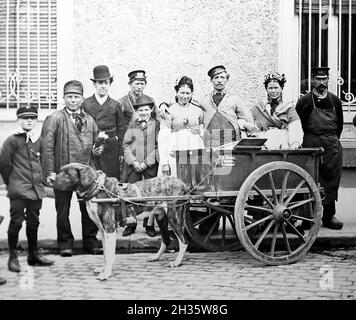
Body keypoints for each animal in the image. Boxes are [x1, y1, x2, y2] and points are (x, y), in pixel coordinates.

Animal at [53, 162, 189, 280]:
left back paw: (177, 262)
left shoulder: (109, 229)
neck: (97, 188)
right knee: (166, 239)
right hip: (161, 217)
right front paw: (103, 269)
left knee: (184, 242)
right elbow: (105, 254)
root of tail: (182, 183)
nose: (51, 179)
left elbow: (109, 254)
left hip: (173, 216)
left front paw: (106, 274)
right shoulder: (103, 230)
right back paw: (156, 257)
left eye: (66, 173)